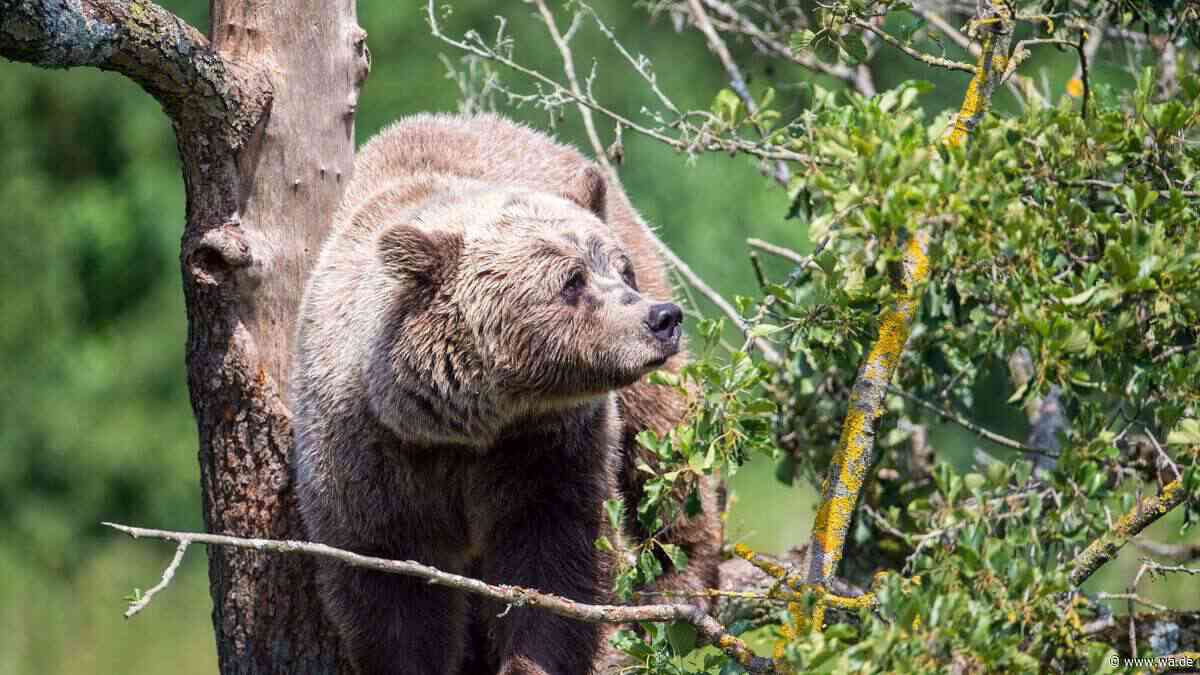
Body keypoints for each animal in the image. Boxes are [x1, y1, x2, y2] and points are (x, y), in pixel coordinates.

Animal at [291, 113, 722, 675]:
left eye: (619, 269)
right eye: (572, 280)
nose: (662, 318)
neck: (469, 424)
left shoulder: (547, 451)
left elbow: (558, 564)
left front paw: (531, 659)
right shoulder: (372, 460)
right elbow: (390, 590)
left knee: (662, 455)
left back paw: (682, 588)